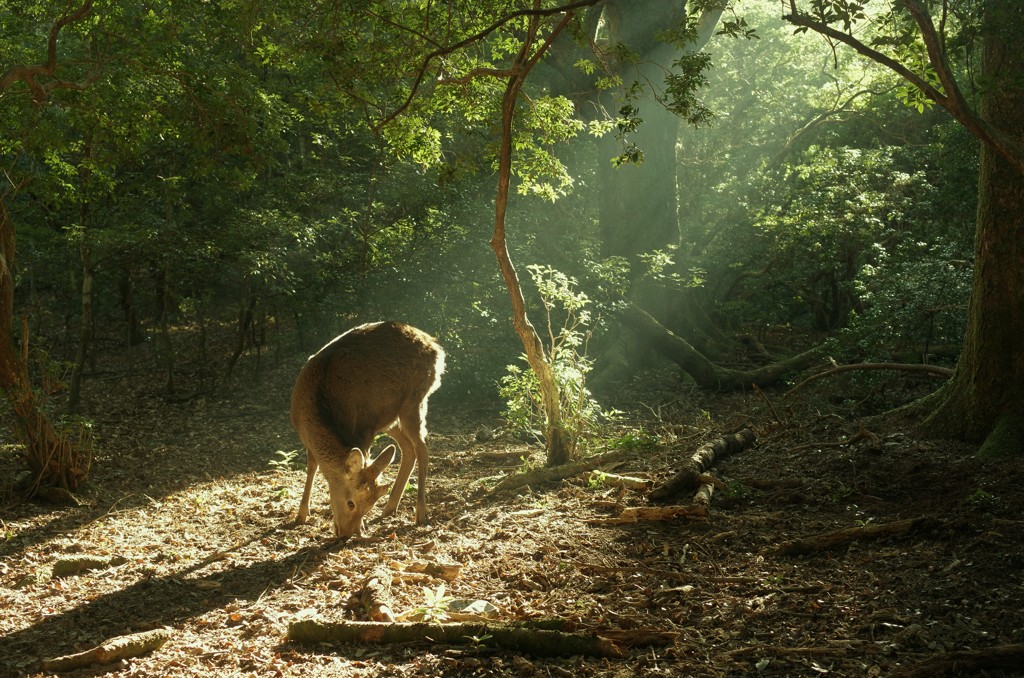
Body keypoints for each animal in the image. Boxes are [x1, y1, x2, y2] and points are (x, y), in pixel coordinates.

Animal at [290, 321, 446, 540]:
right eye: (351, 503)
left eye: (367, 506)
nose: (347, 534)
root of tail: (437, 349)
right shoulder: (305, 437)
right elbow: (312, 466)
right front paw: (301, 514)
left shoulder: (363, 429)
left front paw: (361, 526)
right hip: (390, 417)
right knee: (408, 448)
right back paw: (390, 507)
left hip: (414, 400)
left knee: (422, 447)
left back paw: (420, 513)